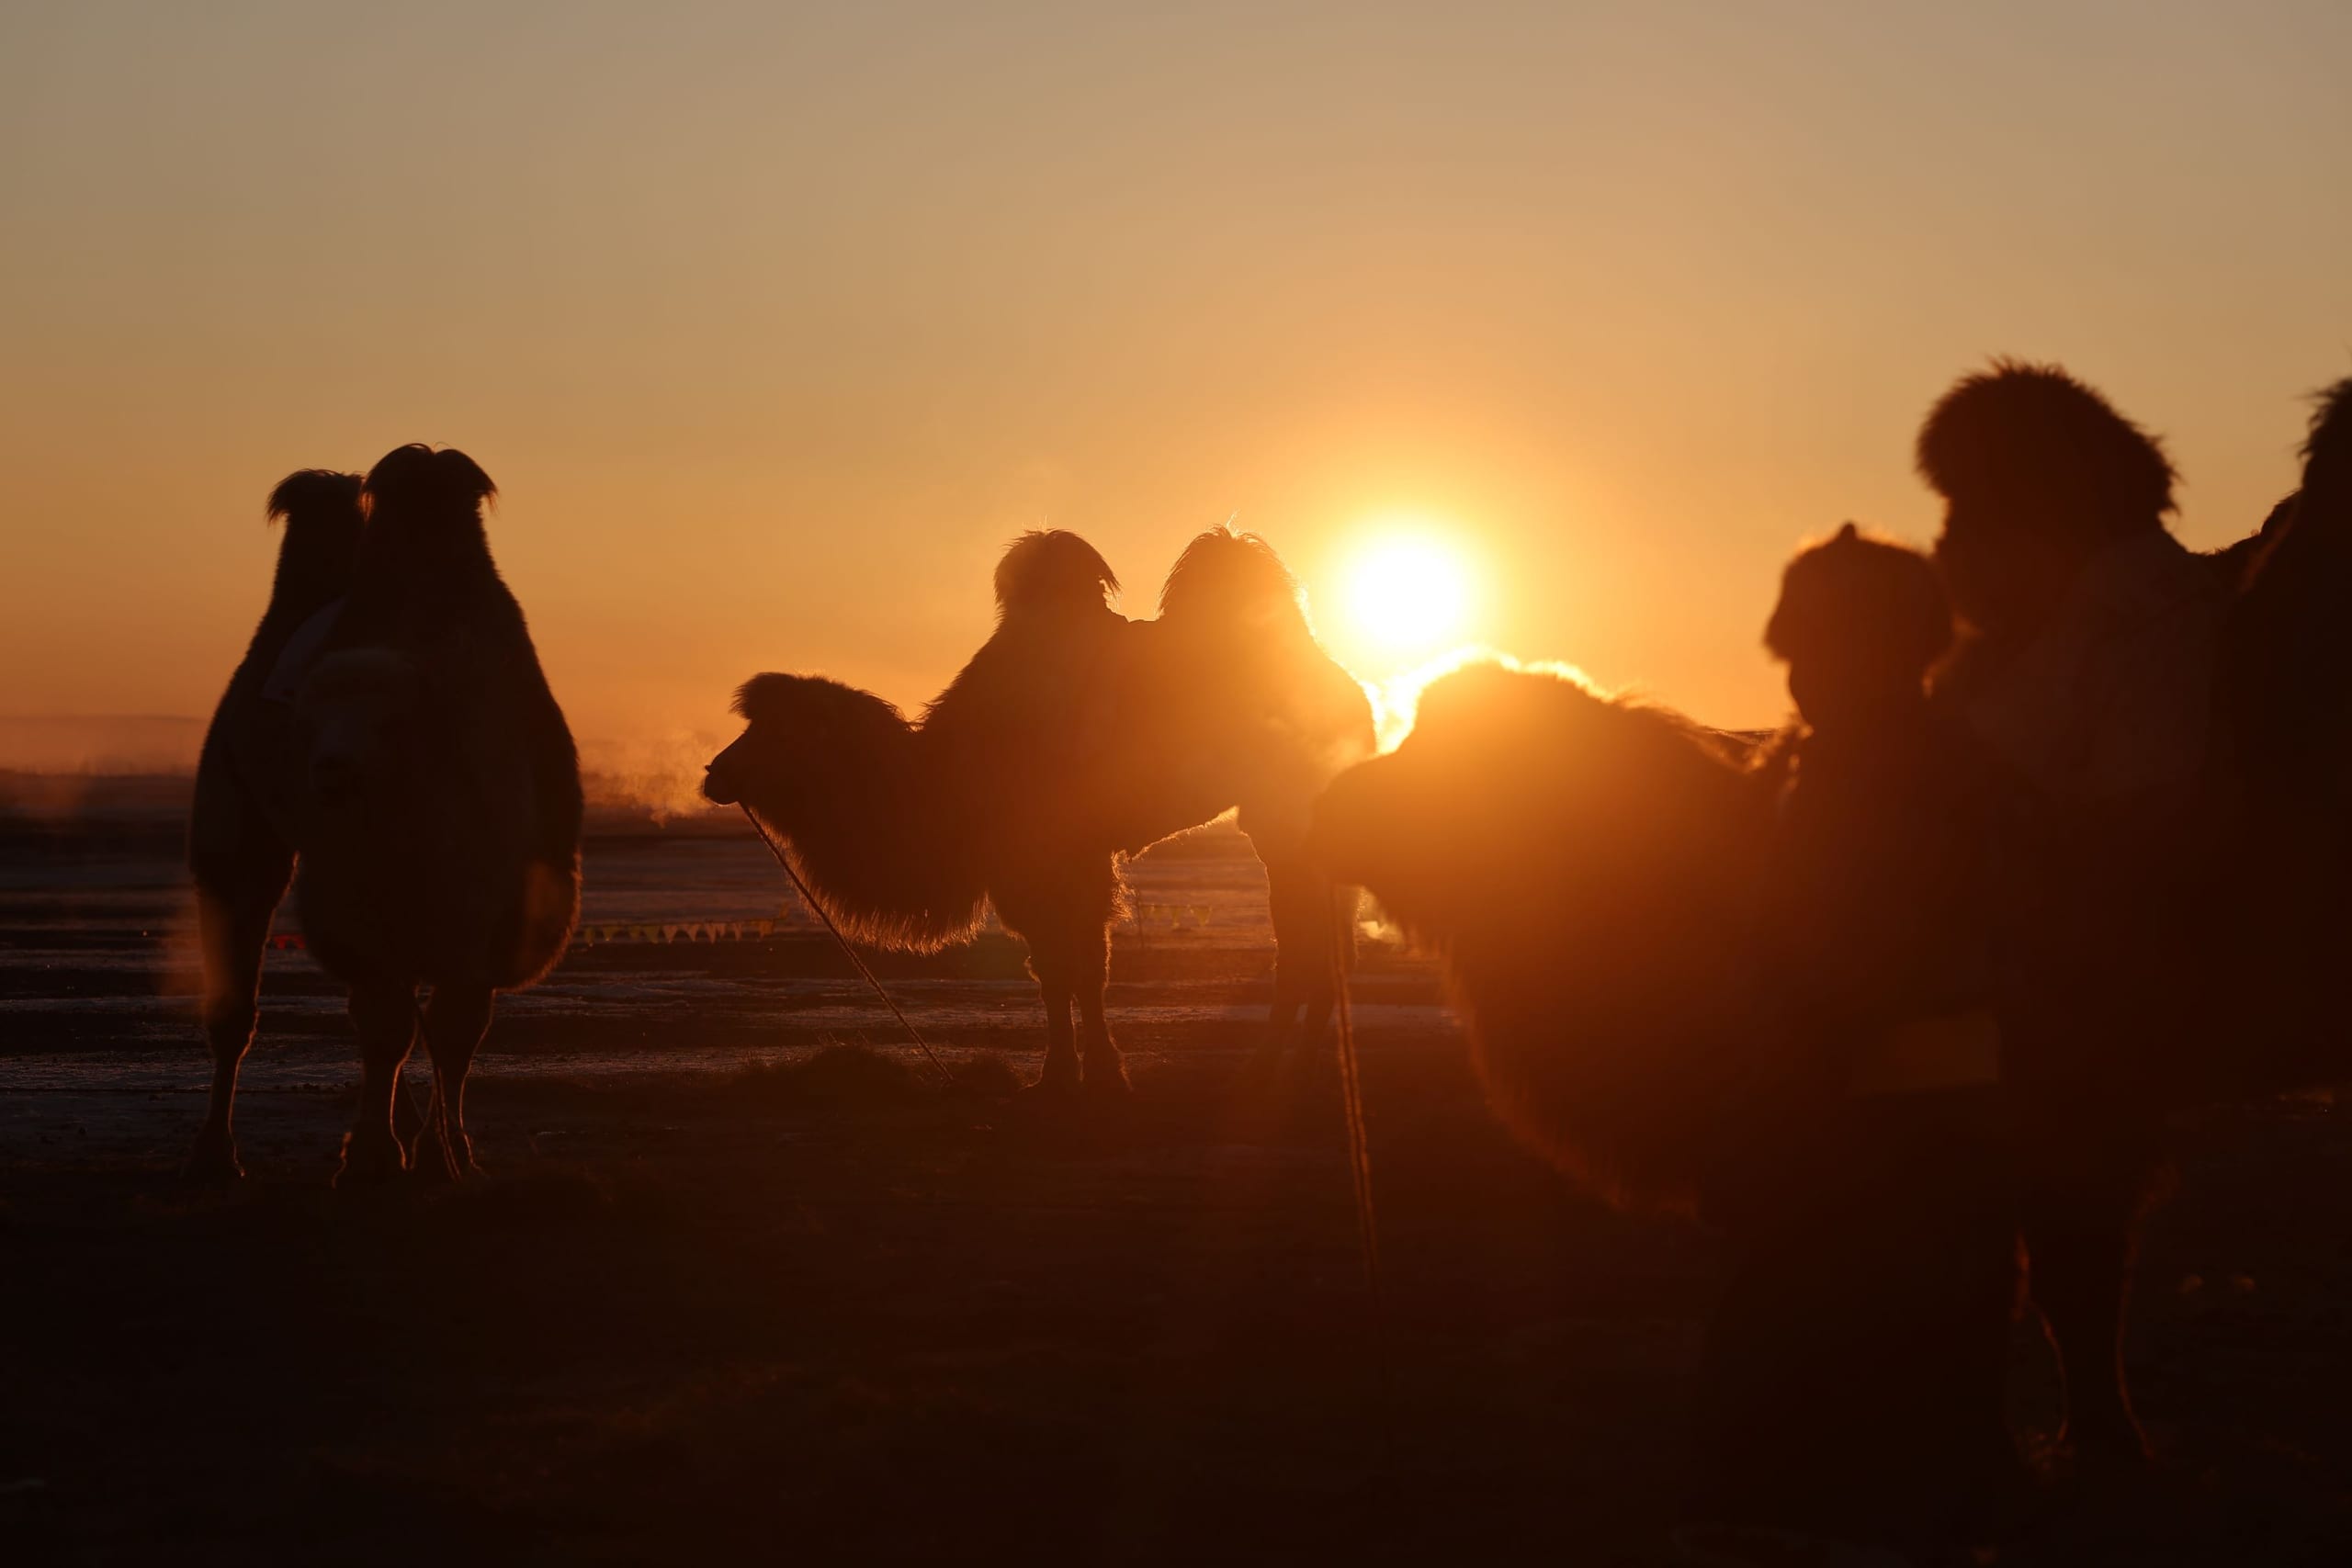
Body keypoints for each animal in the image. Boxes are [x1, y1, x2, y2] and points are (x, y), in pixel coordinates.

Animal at [702, 527, 1376, 1094]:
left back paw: (1273, 1066)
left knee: (1306, 944)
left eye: (773, 730)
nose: (714, 772)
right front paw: (1060, 1074)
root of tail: (1346, 685)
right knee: (1323, 943)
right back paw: (1300, 1063)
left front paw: (1097, 1073)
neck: (945, 772)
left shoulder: (1063, 857)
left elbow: (1081, 966)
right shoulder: (1027, 868)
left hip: (1286, 820)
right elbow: (1056, 968)